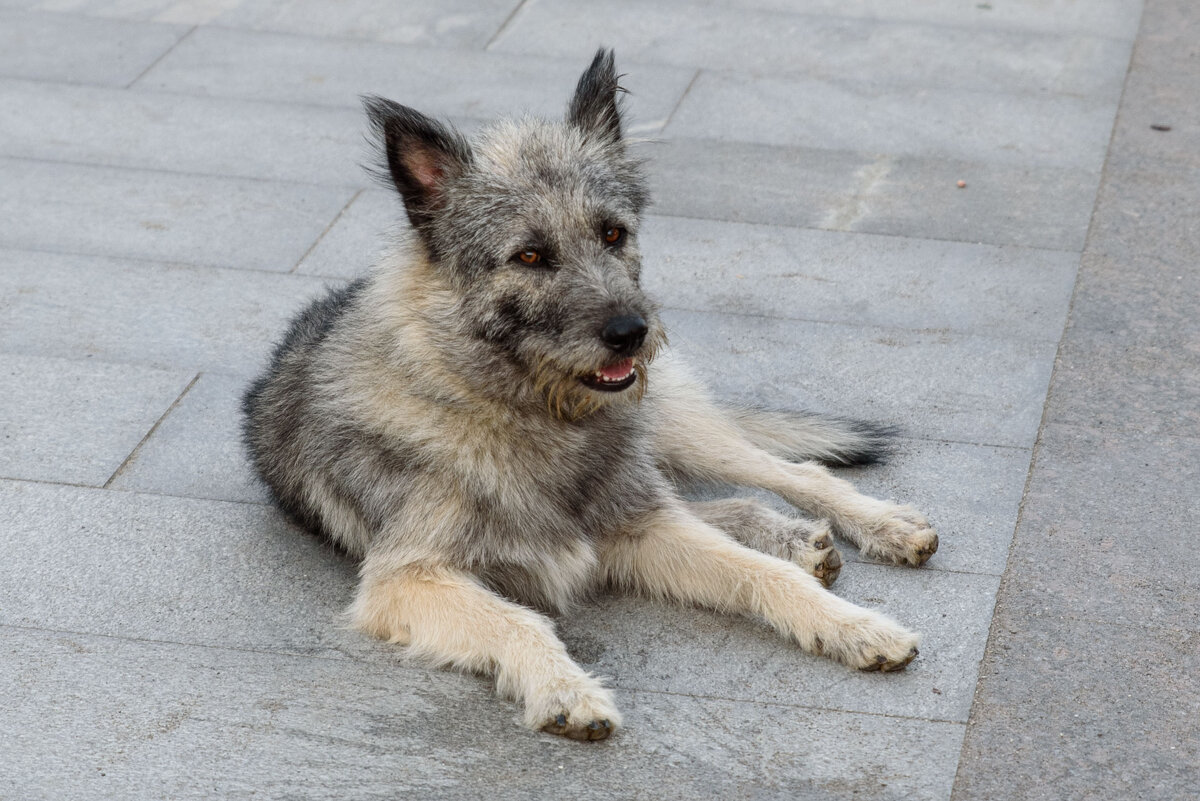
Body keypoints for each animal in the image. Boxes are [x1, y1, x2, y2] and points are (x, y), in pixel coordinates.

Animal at [243, 50, 936, 743]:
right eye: (529, 256)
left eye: (612, 234)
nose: (632, 333)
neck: (522, 411)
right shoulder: (407, 578)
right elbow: (517, 618)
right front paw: (563, 687)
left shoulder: (643, 527)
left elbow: (756, 572)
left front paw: (852, 624)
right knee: (707, 500)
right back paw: (795, 538)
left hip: (675, 430)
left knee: (787, 472)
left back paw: (876, 525)